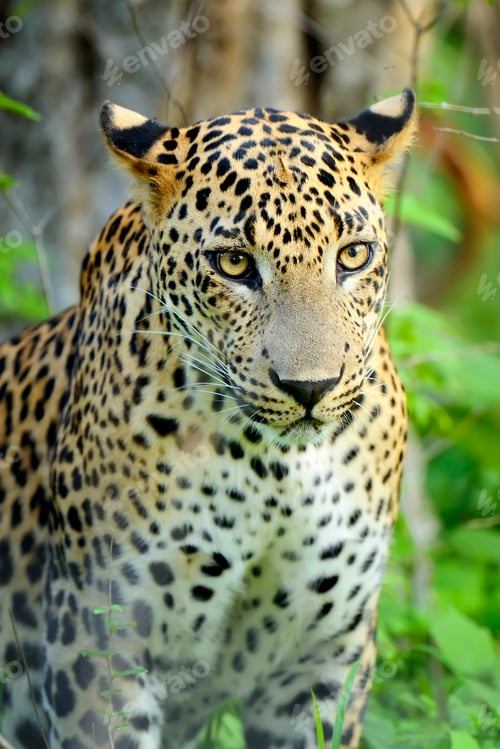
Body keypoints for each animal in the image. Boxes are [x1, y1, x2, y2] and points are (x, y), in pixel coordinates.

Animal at [0, 88, 416, 749]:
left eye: (353, 256)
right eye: (234, 264)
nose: (311, 388)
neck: (274, 469)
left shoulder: (321, 661)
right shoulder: (97, 646)